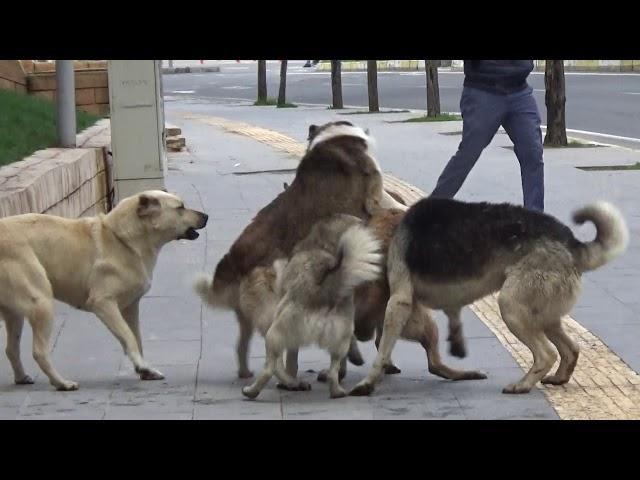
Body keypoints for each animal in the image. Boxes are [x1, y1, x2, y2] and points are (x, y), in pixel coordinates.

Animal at [0, 190, 208, 390]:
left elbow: (136, 338)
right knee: (39, 352)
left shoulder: (130, 307)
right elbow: (128, 336)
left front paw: (144, 368)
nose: (206, 216)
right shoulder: (103, 303)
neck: (122, 239)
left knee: (11, 349)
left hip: (15, 313)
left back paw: (21, 377)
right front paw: (142, 366)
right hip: (42, 303)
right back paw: (62, 383)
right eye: (180, 207)